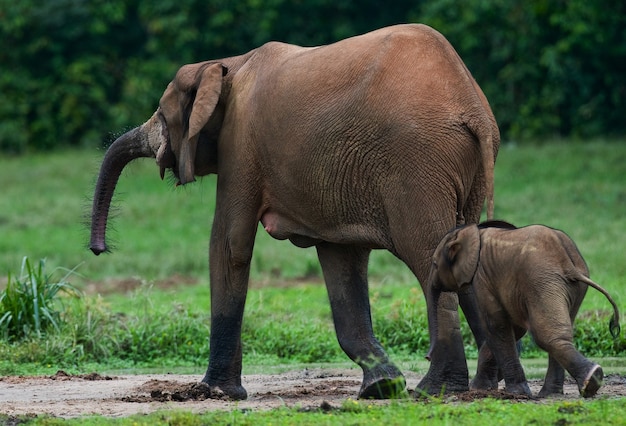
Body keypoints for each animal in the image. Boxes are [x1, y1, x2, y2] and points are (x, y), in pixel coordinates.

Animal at [89, 24, 498, 400]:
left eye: (161, 113)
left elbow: (229, 245)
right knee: (463, 256)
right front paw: (382, 387)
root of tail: (472, 108)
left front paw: (213, 392)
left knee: (431, 257)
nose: (98, 249)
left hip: (415, 165)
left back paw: (436, 390)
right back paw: (484, 387)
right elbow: (340, 262)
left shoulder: (240, 144)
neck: (225, 65)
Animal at [424, 221, 620, 398]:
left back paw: (588, 381)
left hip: (541, 280)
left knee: (545, 334)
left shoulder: (482, 277)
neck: (472, 233)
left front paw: (513, 393)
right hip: (570, 287)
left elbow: (496, 324)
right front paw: (481, 389)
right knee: (561, 330)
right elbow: (513, 328)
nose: (427, 357)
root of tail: (568, 264)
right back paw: (554, 393)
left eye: (434, 264)